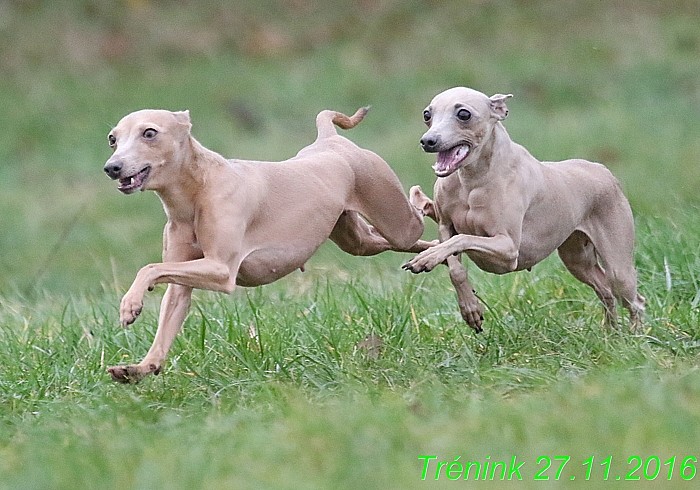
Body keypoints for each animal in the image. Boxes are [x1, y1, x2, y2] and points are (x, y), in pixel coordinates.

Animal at [104, 107, 432, 382]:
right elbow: (166, 317)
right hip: (359, 239)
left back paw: (428, 213)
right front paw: (141, 367)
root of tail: (330, 140)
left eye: (149, 132)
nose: (112, 168)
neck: (197, 190)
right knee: (400, 240)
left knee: (419, 211)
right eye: (112, 138)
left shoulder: (222, 271)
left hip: (396, 219)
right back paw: (428, 255)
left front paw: (130, 305)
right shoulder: (182, 281)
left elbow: (149, 267)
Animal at [404, 87, 644, 334]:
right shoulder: (445, 226)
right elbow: (455, 265)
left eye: (464, 114)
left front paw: (428, 256)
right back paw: (610, 332)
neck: (472, 181)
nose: (428, 141)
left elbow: (462, 238)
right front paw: (470, 308)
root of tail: (605, 171)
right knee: (605, 291)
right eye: (427, 115)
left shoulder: (508, 249)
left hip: (618, 266)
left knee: (634, 300)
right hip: (577, 259)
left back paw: (634, 335)